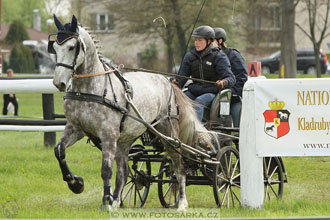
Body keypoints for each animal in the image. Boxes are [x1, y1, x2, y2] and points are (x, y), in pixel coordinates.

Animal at [49, 14, 206, 211]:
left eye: (71, 47)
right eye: (54, 47)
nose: (59, 83)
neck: (90, 89)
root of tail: (169, 81)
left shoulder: (108, 134)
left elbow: (106, 170)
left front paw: (105, 202)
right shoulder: (75, 128)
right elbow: (59, 151)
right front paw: (76, 183)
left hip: (168, 132)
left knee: (178, 164)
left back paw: (182, 203)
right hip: (125, 140)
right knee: (124, 171)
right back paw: (117, 200)